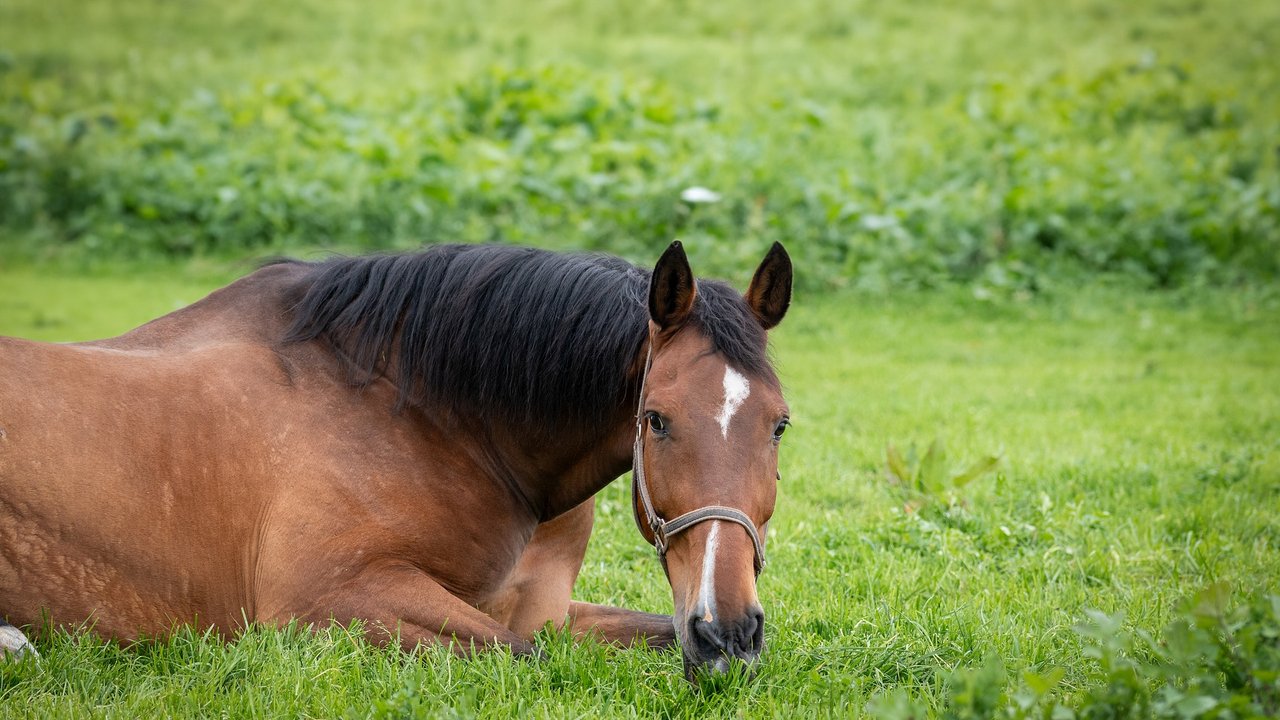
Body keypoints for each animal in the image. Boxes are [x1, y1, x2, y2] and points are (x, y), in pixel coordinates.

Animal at [0, 239, 788, 671]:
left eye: (779, 425)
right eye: (656, 420)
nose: (727, 632)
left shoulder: (546, 610)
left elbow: (632, 633)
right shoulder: (331, 600)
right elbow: (526, 657)